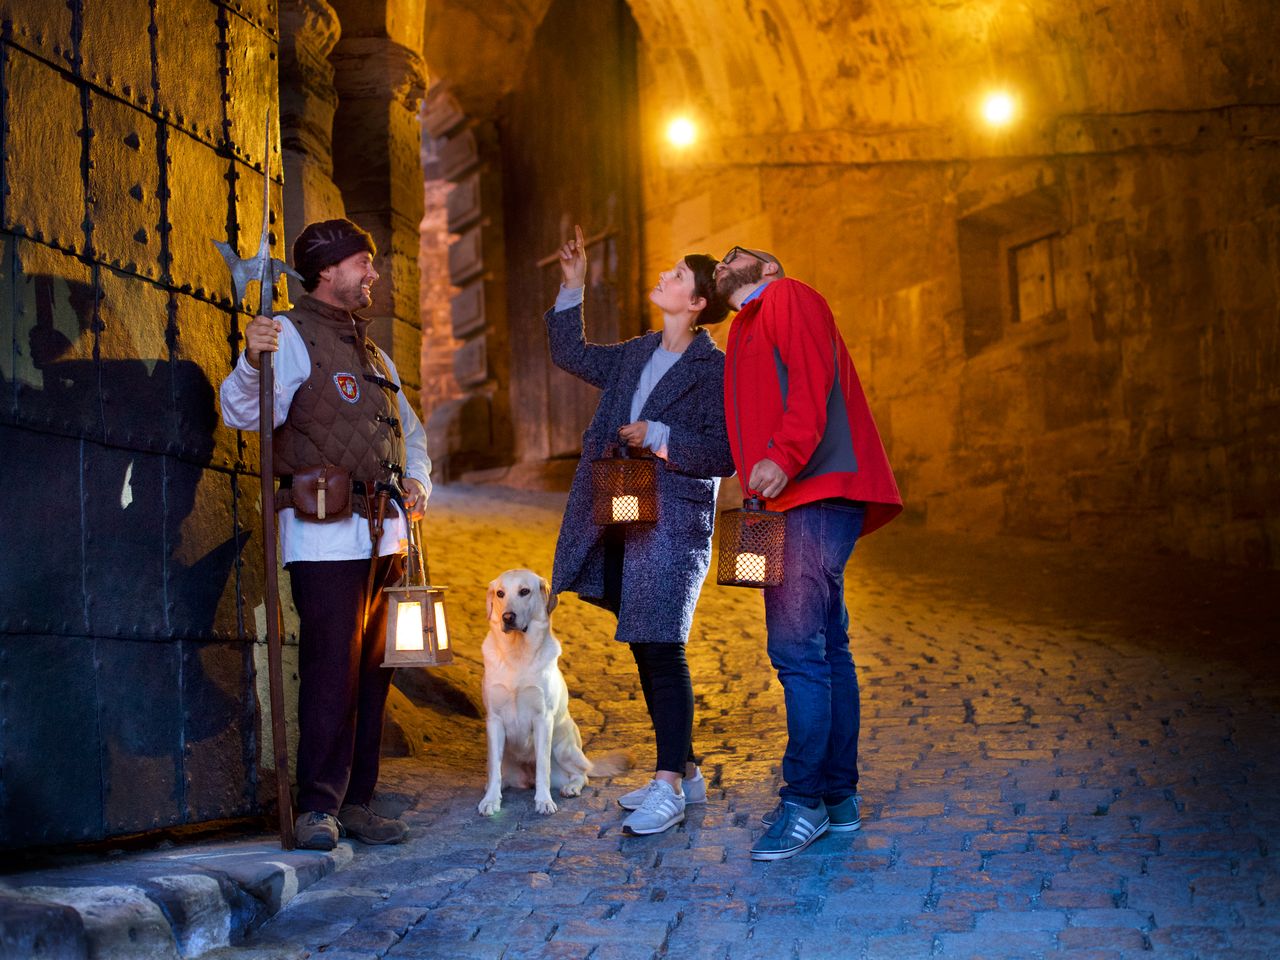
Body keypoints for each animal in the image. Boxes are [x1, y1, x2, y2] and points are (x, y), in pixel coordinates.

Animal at [481, 570, 609, 819]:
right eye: (500, 593)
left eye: (524, 591)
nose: (507, 617)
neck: (517, 654)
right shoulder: (494, 720)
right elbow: (493, 769)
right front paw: (491, 800)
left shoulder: (543, 719)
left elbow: (542, 767)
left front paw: (544, 801)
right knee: (499, 772)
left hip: (563, 747)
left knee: (581, 774)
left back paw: (571, 788)